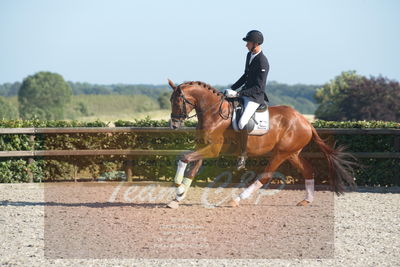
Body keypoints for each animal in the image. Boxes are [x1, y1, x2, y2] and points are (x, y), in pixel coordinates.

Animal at [166, 79, 356, 209]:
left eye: (177, 101)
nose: (173, 125)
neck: (213, 112)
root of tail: (305, 121)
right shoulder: (203, 147)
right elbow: (192, 168)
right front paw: (178, 197)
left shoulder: (212, 149)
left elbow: (184, 158)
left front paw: (177, 185)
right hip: (292, 153)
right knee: (308, 170)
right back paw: (306, 200)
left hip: (281, 153)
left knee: (265, 175)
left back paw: (237, 199)